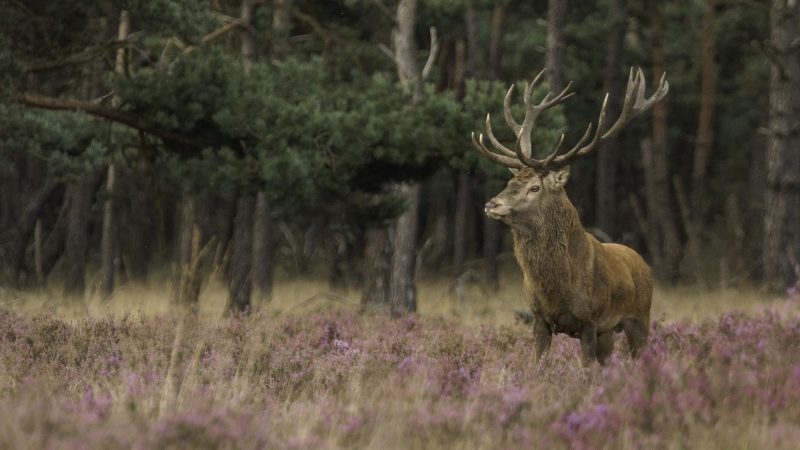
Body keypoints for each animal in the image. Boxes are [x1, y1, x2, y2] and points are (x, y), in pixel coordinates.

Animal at [472, 67, 664, 366]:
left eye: (534, 187)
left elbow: (585, 368)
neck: (558, 289)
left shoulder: (590, 320)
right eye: (511, 181)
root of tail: (642, 261)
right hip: (608, 333)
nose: (491, 204)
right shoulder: (539, 319)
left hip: (639, 317)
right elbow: (536, 365)